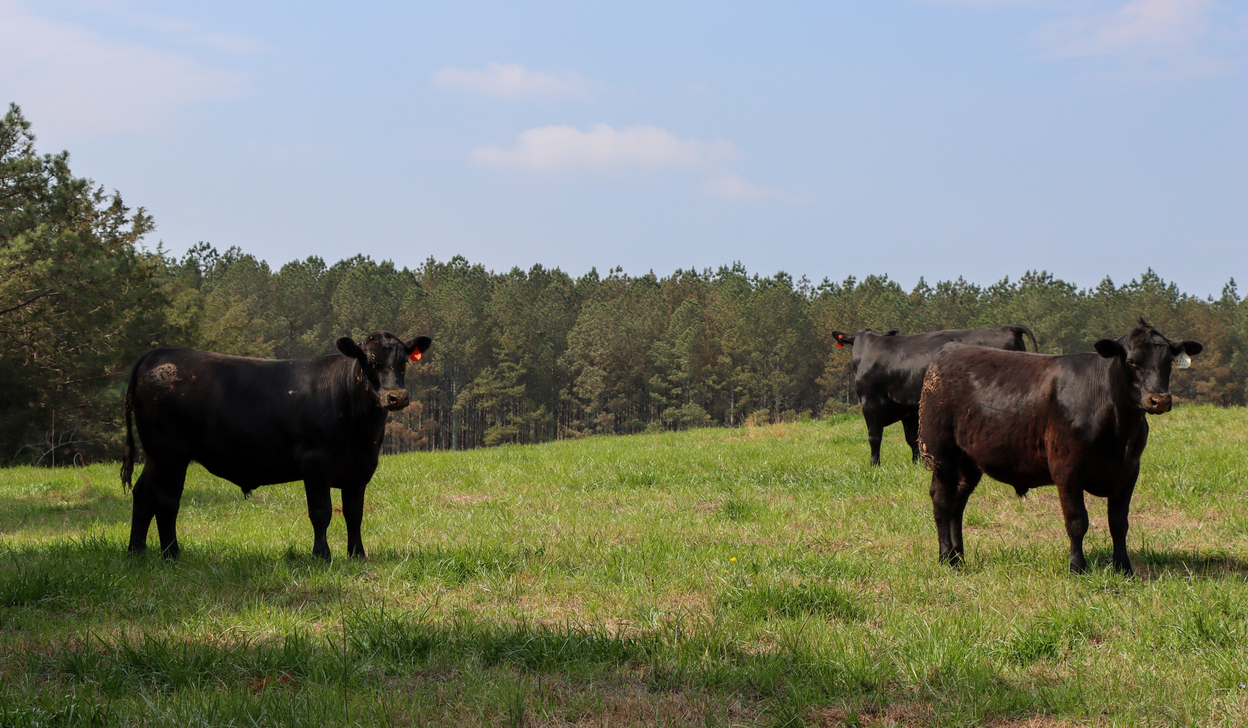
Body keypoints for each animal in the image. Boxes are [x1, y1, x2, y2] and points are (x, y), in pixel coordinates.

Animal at [120, 331, 432, 560]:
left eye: (404, 362)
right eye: (370, 362)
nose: (396, 396)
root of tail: (159, 353)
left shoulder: (359, 469)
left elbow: (354, 514)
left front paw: (357, 554)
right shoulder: (315, 462)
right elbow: (321, 512)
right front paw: (321, 555)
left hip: (155, 455)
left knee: (143, 493)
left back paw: (136, 551)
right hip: (170, 453)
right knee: (166, 499)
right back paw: (171, 554)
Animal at [829, 325, 1038, 465]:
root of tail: (1007, 328)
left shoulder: (871, 402)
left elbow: (874, 436)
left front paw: (874, 464)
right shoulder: (908, 408)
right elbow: (912, 438)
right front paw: (916, 463)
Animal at [917, 319, 1201, 575]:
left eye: (1168, 362)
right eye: (1132, 362)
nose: (1159, 400)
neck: (1118, 428)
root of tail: (949, 350)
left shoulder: (1129, 471)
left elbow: (1119, 523)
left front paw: (1123, 567)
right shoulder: (1067, 469)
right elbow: (1077, 521)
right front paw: (1077, 567)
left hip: (969, 459)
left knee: (958, 501)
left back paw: (959, 557)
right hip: (941, 453)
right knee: (942, 500)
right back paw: (946, 558)